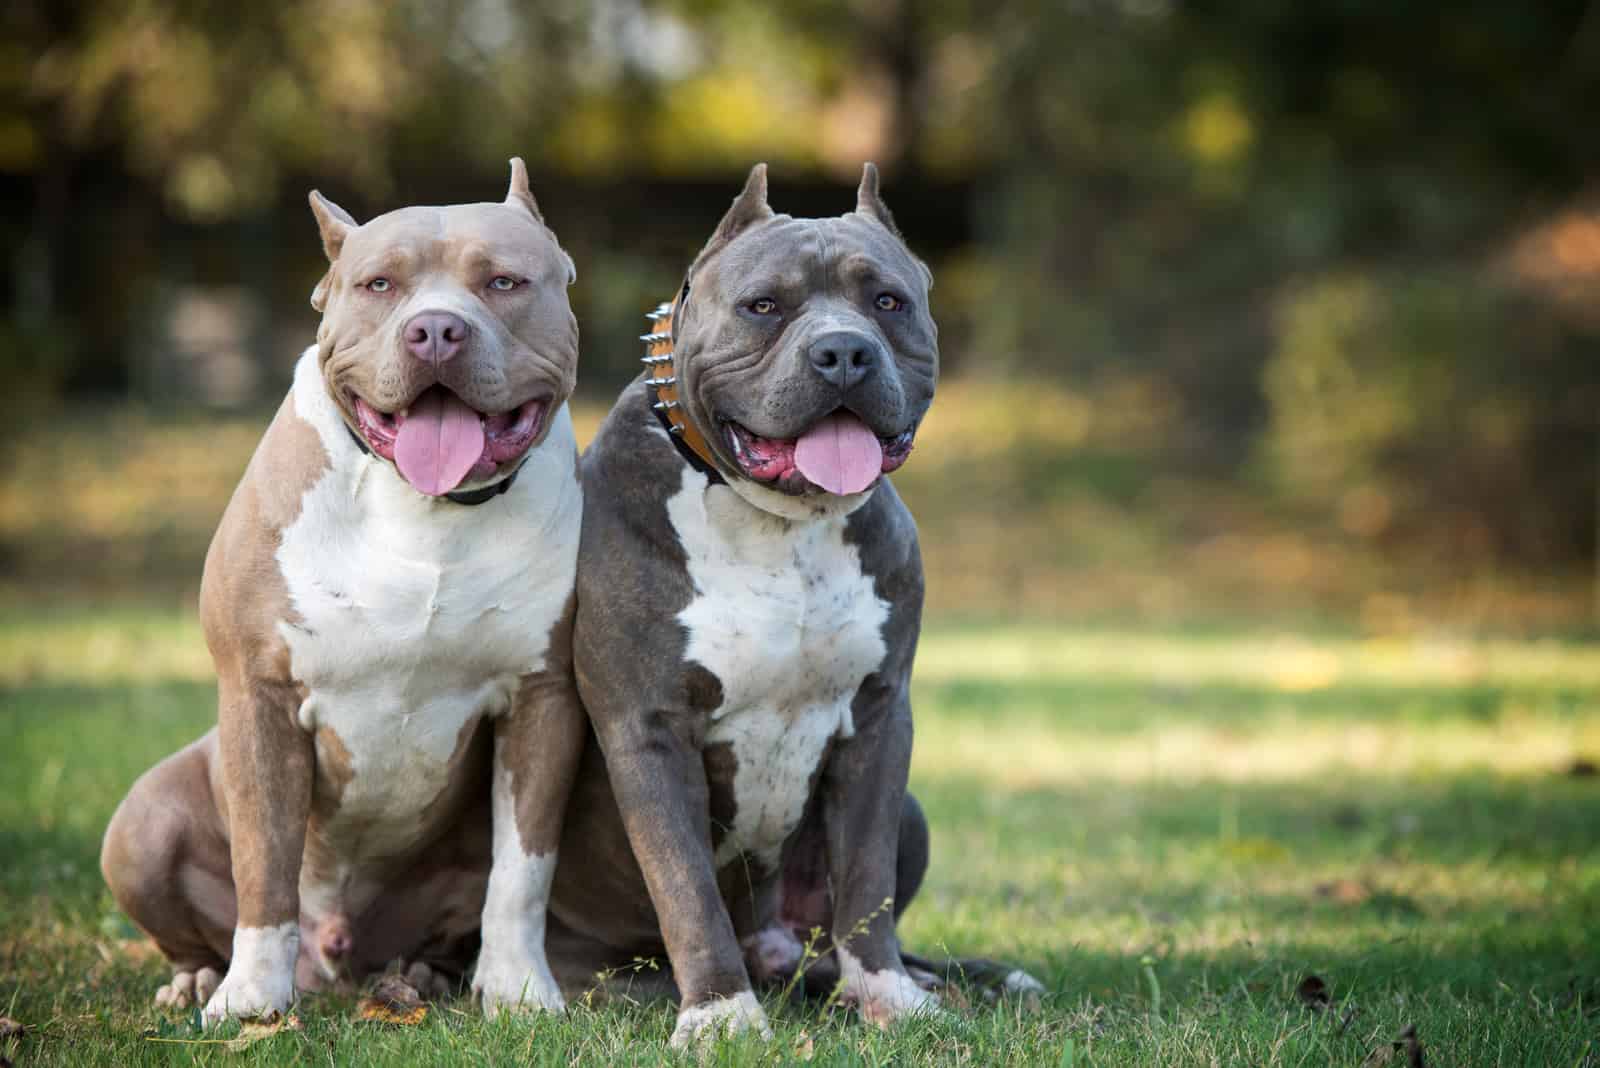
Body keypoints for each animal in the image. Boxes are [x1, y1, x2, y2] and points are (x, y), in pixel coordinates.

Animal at [101, 160, 588, 1023]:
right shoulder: (259, 693)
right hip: (141, 821)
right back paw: (204, 976)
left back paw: (423, 975)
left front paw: (519, 987)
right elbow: (265, 863)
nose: (437, 331)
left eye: (503, 281)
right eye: (379, 284)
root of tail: (338, 959)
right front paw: (251, 999)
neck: (425, 508)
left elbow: (522, 872)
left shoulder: (541, 700)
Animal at [544, 164, 1043, 1042]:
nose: (843, 351)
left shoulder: (879, 719)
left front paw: (888, 995)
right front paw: (719, 1014)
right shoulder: (649, 729)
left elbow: (867, 883)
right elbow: (687, 889)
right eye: (763, 306)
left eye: (888, 301)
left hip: (911, 813)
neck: (782, 525)